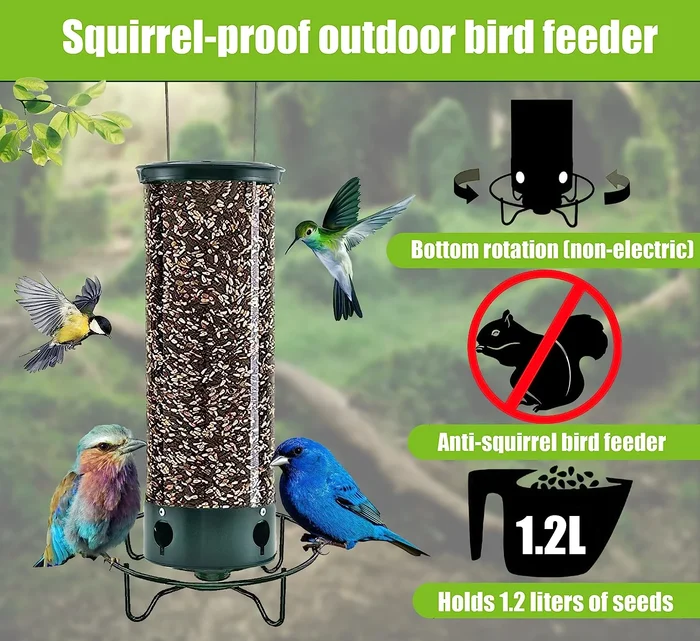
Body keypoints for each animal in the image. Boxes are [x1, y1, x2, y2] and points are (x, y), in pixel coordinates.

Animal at [475, 309, 608, 413]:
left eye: (495, 333)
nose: (477, 339)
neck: (515, 337)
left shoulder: (519, 348)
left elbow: (506, 358)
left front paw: (484, 348)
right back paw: (527, 403)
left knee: (553, 402)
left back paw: (542, 407)